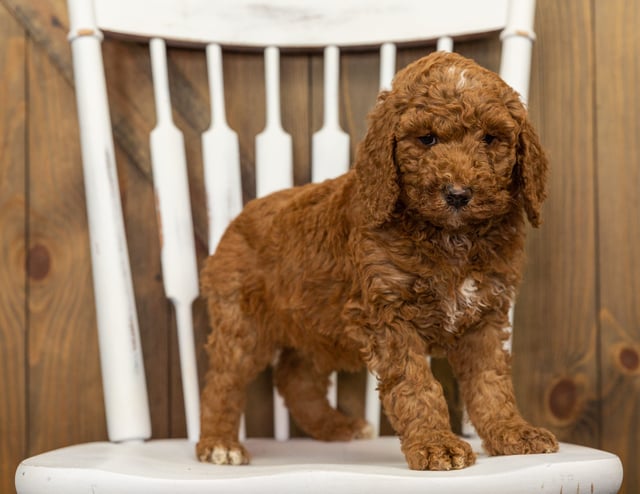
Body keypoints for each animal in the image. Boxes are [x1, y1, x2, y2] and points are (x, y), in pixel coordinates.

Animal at [198, 51, 556, 470]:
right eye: (427, 139)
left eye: (490, 138)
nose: (457, 193)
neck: (450, 239)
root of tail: (238, 217)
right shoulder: (390, 313)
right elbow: (417, 383)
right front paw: (435, 444)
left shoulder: (485, 315)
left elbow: (491, 382)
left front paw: (512, 432)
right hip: (243, 321)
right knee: (224, 379)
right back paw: (219, 443)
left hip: (317, 323)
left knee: (295, 377)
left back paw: (337, 427)